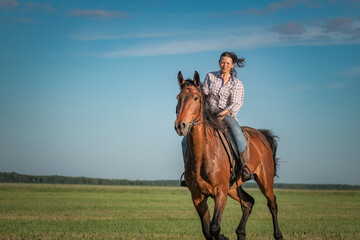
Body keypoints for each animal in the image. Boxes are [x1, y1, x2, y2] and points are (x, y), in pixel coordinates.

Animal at [174, 71, 284, 240]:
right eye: (178, 97)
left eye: (195, 98)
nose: (181, 125)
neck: (203, 156)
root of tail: (261, 135)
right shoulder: (198, 196)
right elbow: (207, 231)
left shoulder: (220, 193)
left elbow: (214, 227)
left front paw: (223, 236)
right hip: (233, 188)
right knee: (248, 202)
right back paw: (241, 233)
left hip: (265, 180)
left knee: (272, 203)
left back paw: (278, 235)